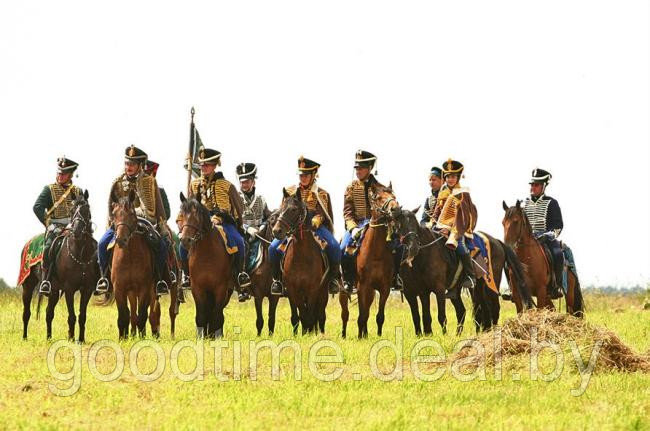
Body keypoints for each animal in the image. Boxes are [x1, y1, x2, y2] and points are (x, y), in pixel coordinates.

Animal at [21, 191, 98, 342]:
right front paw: (71, 339)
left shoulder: (87, 289)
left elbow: (82, 316)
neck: (80, 253)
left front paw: (81, 340)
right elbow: (72, 316)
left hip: (54, 291)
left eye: (86, 209)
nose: (77, 231)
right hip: (28, 285)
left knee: (48, 312)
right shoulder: (69, 289)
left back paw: (49, 338)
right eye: (72, 210)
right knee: (26, 313)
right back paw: (25, 337)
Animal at [110, 191, 161, 340]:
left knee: (152, 313)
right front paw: (123, 338)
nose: (121, 240)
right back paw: (132, 334)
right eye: (114, 213)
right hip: (131, 292)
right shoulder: (119, 288)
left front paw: (142, 338)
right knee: (132, 314)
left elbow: (142, 315)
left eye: (132, 214)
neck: (130, 257)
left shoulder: (144, 288)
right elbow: (123, 316)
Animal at [178, 194, 234, 340]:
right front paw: (201, 337)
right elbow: (201, 316)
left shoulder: (221, 289)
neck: (207, 253)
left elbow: (217, 316)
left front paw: (216, 337)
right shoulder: (197, 289)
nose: (185, 240)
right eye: (181, 216)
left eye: (197, 216)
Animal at [270, 191, 326, 336]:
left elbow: (310, 315)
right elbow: (298, 315)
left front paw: (309, 333)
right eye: (281, 209)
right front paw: (301, 333)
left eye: (294, 209)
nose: (276, 231)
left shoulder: (313, 289)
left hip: (323, 293)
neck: (302, 257)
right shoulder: (292, 289)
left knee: (321, 315)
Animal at [390, 208, 532, 336]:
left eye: (415, 223)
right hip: (473, 287)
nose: (413, 247)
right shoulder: (415, 292)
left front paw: (444, 336)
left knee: (493, 308)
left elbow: (441, 316)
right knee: (472, 309)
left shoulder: (438, 289)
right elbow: (421, 316)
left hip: (491, 283)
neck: (422, 258)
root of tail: (497, 241)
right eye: (399, 225)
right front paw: (424, 335)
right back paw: (466, 333)